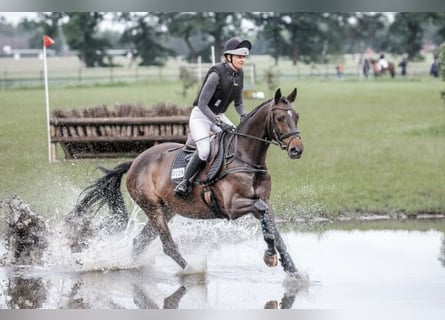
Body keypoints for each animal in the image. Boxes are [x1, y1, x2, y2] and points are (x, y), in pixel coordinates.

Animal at [69, 87, 304, 278]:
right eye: (280, 118)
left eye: (297, 116)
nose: (297, 150)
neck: (245, 157)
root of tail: (136, 161)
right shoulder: (232, 207)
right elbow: (264, 216)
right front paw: (270, 256)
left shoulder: (262, 201)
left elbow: (273, 227)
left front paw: (293, 271)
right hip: (152, 207)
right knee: (167, 245)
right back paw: (191, 270)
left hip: (167, 210)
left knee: (140, 241)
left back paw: (129, 266)